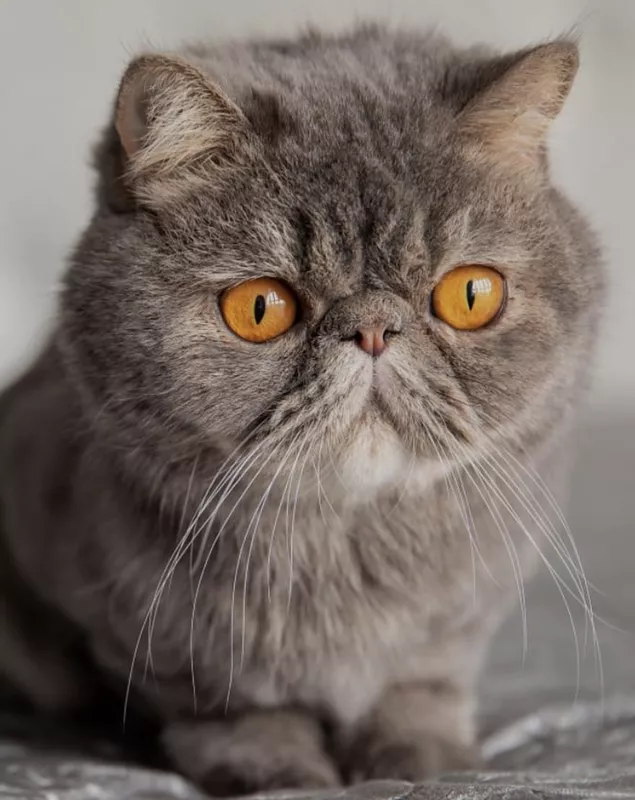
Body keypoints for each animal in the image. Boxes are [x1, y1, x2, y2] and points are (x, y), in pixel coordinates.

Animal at [0, 23, 608, 792]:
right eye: (260, 308)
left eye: (471, 295)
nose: (373, 327)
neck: (346, 558)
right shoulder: (158, 637)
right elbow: (234, 709)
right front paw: (276, 768)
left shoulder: (463, 614)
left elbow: (420, 690)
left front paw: (425, 760)